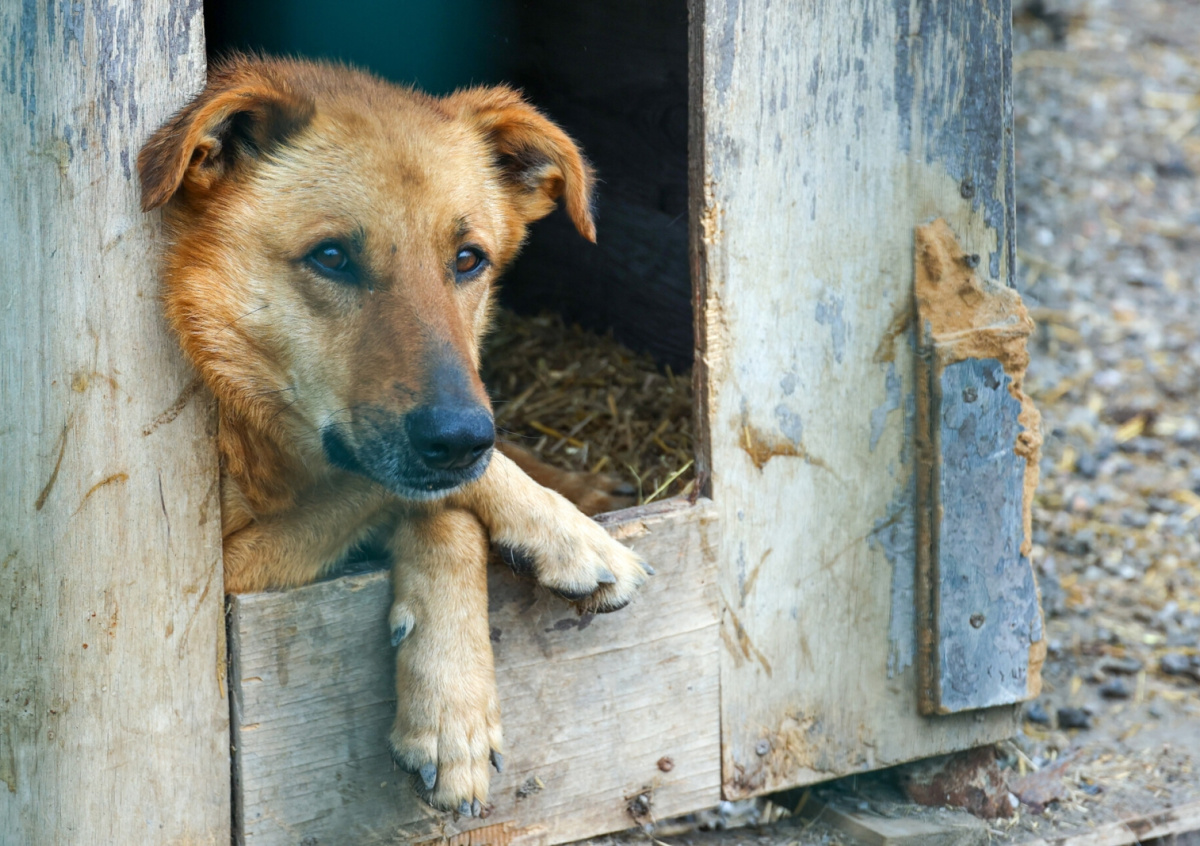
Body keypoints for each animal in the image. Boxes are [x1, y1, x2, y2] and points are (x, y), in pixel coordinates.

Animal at [138, 55, 652, 817]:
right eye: (330, 256)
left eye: (468, 259)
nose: (461, 437)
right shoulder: (223, 572)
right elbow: (400, 488)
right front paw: (564, 531)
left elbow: (447, 503)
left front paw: (452, 701)